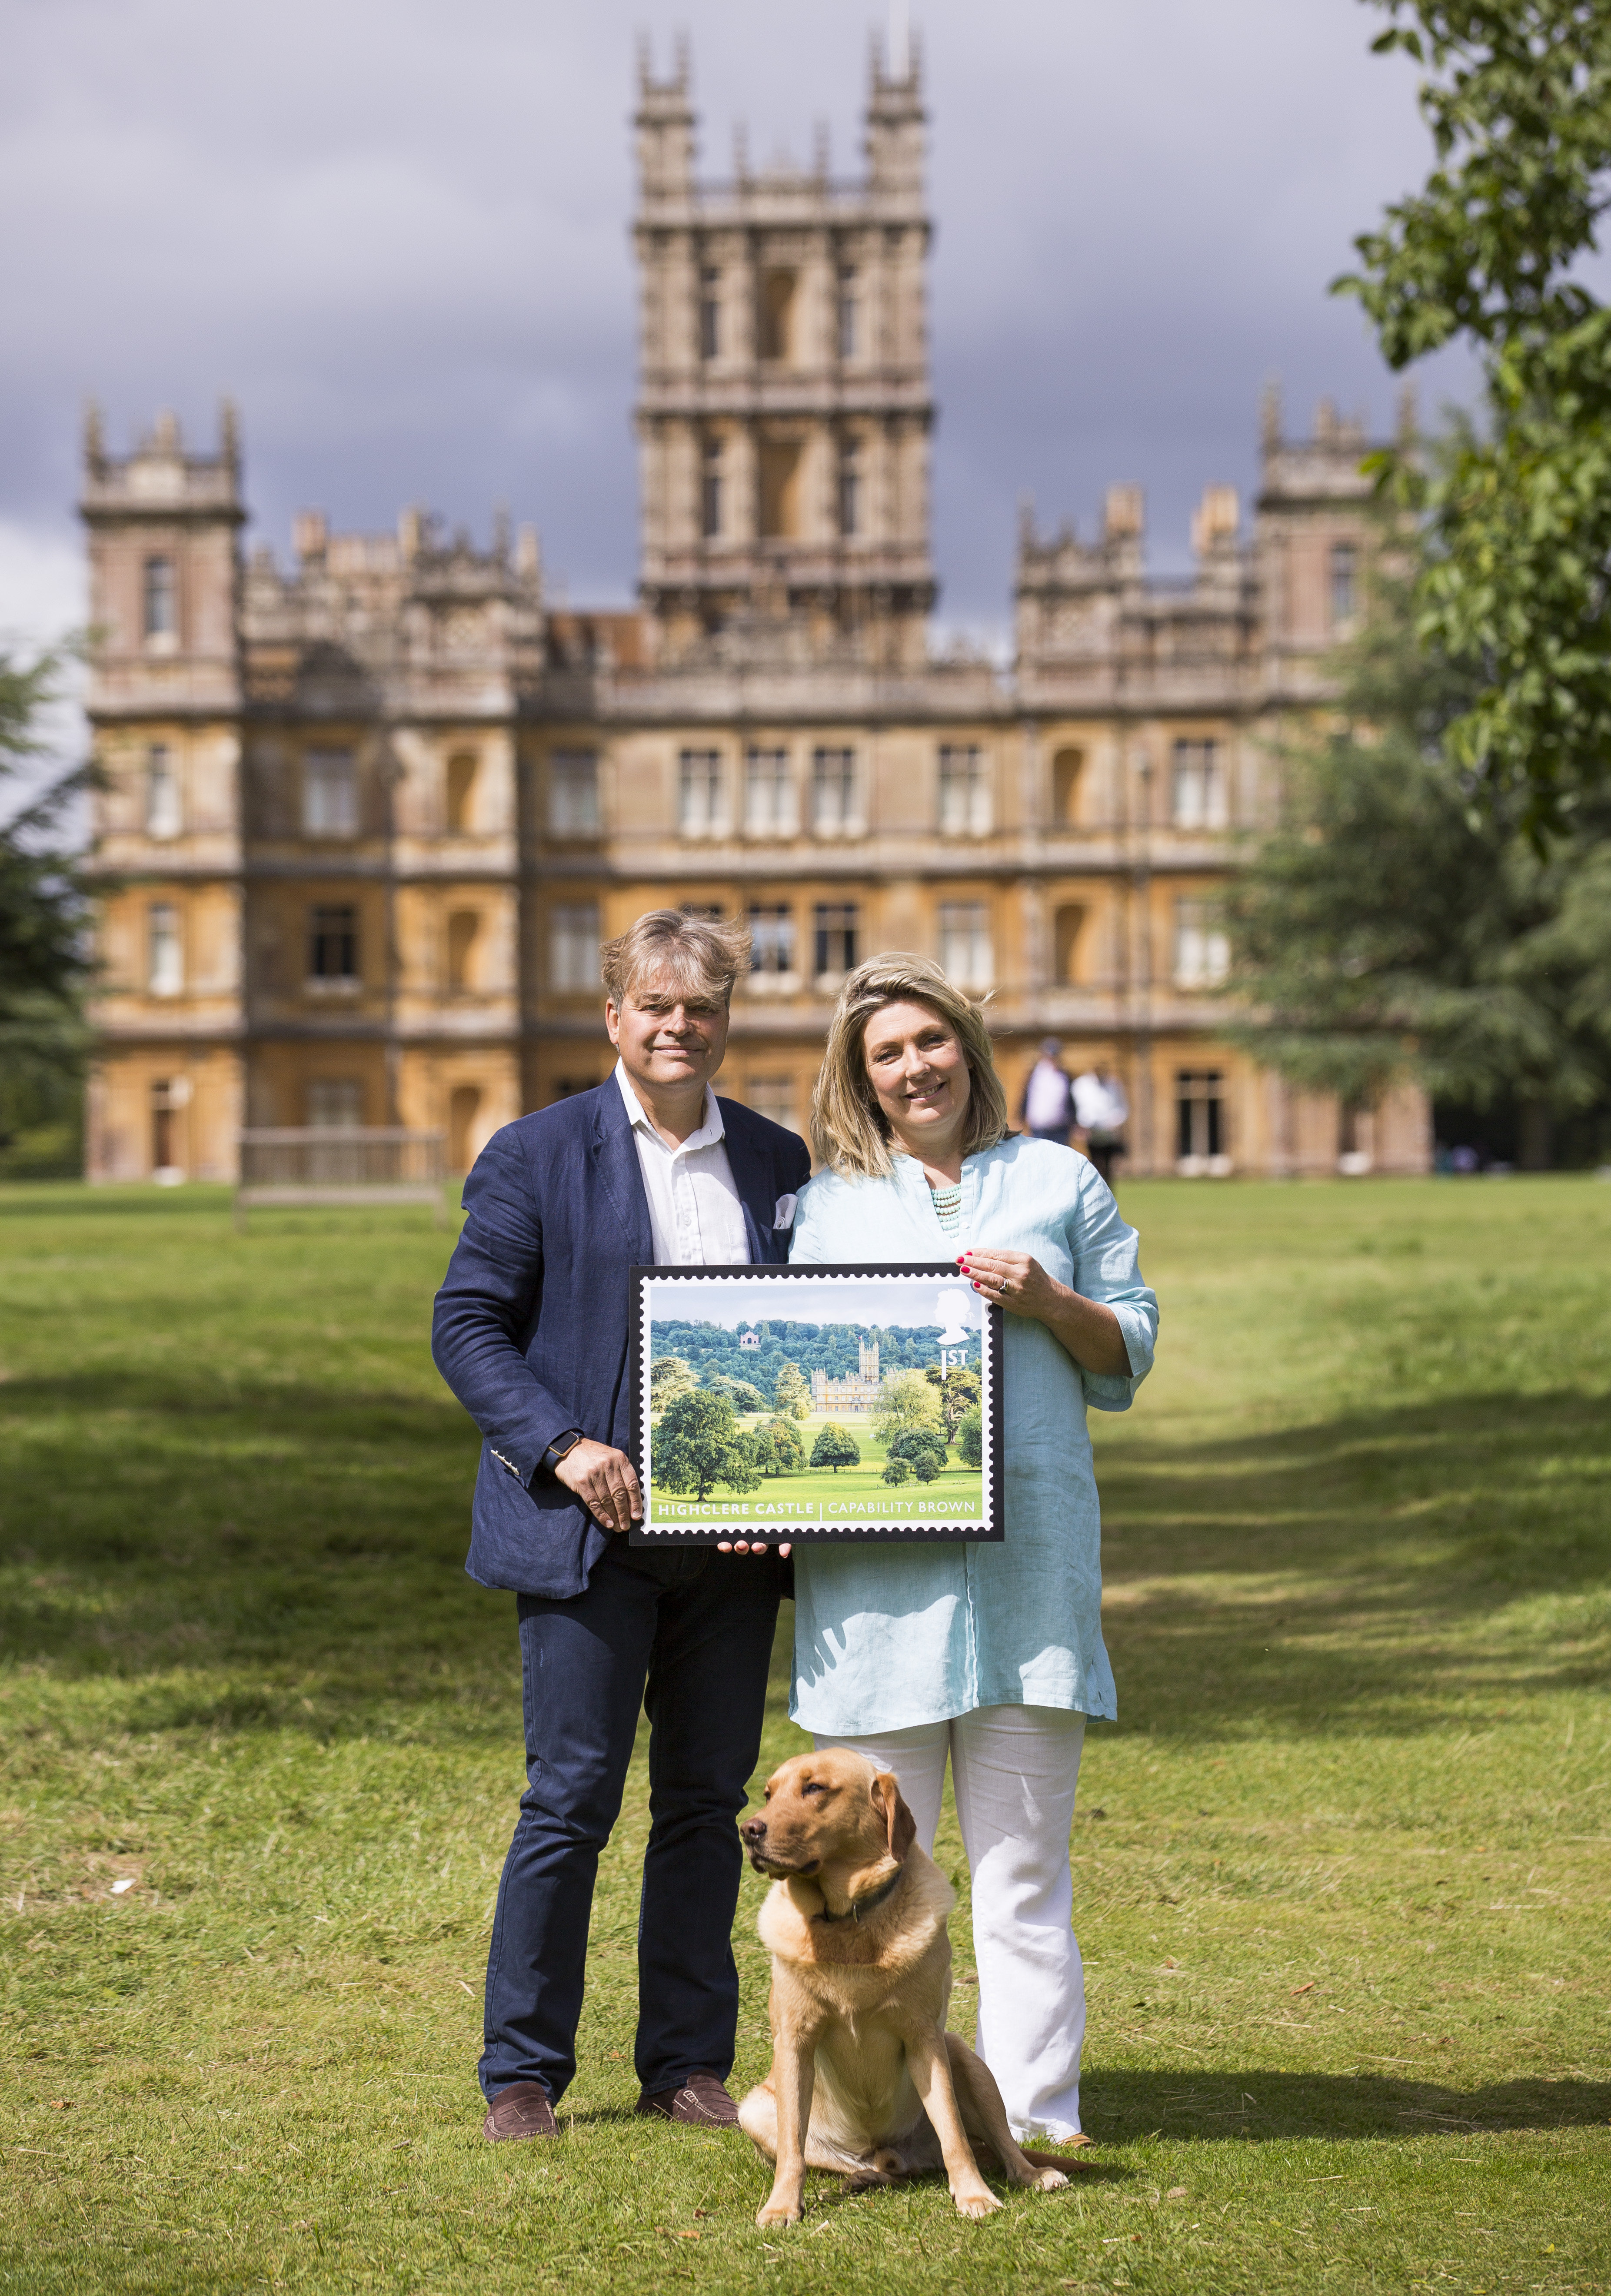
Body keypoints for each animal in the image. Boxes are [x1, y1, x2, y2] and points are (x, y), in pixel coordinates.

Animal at [735, 1745, 1075, 2213]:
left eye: (815, 1787)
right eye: (769, 1793)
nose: (748, 1830)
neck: (847, 1919)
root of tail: (891, 2151)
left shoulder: (925, 2039)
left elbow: (954, 2134)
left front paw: (974, 2194)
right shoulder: (794, 2041)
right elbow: (793, 2148)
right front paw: (783, 2207)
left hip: (965, 2060)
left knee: (1001, 2144)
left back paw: (1034, 2174)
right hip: (752, 2110)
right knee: (855, 2163)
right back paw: (861, 2177)